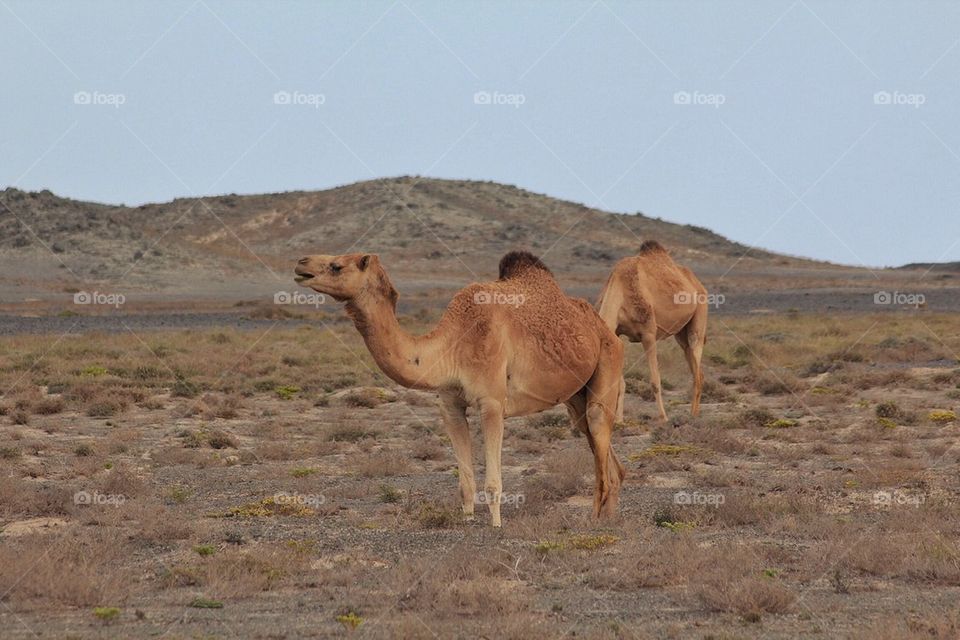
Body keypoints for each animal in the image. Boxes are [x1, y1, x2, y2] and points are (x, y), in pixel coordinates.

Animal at [294, 251, 625, 526]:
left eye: (337, 265)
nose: (300, 264)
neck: (452, 345)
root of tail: (604, 328)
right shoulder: (450, 404)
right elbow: (465, 480)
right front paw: (466, 520)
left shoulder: (492, 403)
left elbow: (493, 482)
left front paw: (495, 525)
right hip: (575, 396)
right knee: (603, 451)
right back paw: (608, 516)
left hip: (607, 366)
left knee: (599, 435)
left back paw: (596, 520)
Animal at [596, 240, 708, 422]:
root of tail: (696, 282)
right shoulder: (617, 334)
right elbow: (620, 382)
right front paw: (619, 421)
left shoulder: (648, 334)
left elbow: (655, 380)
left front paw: (663, 418)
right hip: (681, 333)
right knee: (694, 366)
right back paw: (694, 413)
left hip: (699, 319)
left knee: (697, 366)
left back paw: (693, 416)